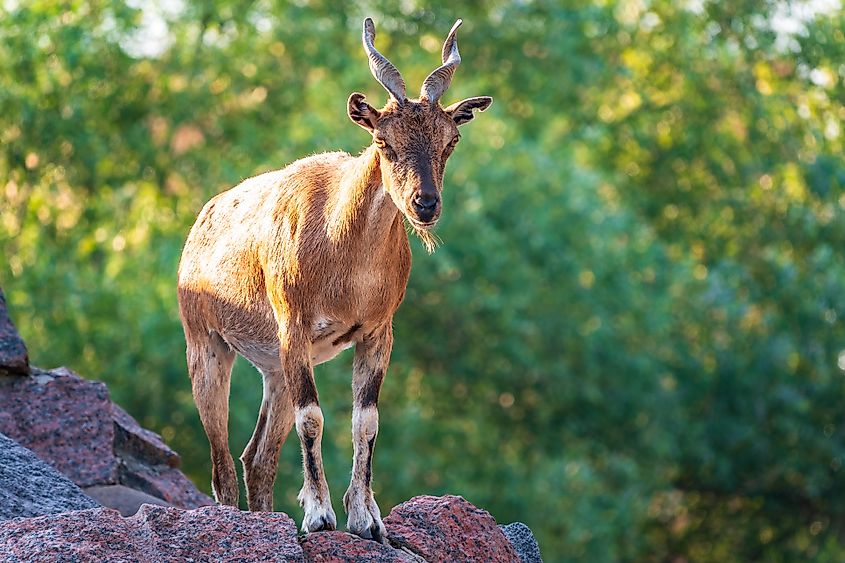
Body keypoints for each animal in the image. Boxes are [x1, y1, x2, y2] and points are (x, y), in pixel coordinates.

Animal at [177, 18, 491, 542]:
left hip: (273, 371)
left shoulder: (377, 333)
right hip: (207, 345)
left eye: (450, 141)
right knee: (222, 462)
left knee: (257, 458)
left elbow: (366, 422)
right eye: (383, 141)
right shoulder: (295, 327)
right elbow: (313, 418)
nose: (426, 205)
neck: (342, 250)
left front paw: (366, 520)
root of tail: (202, 222)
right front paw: (320, 516)